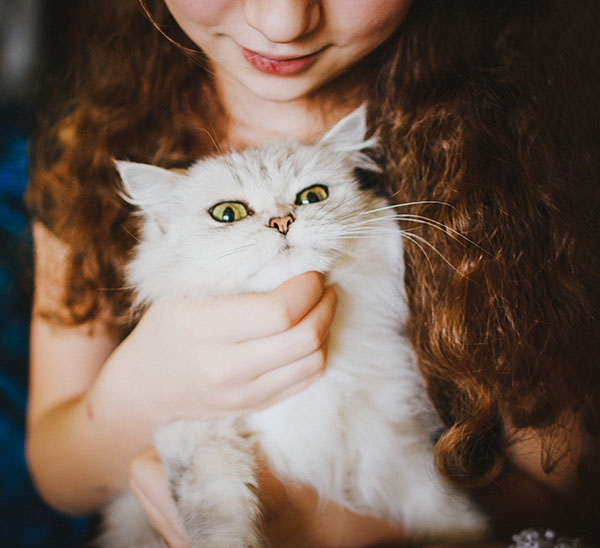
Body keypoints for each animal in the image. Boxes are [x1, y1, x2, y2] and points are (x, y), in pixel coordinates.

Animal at [103, 107, 488, 548]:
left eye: (312, 196)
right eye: (228, 214)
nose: (282, 221)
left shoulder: (392, 447)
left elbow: (443, 510)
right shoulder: (197, 437)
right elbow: (221, 518)